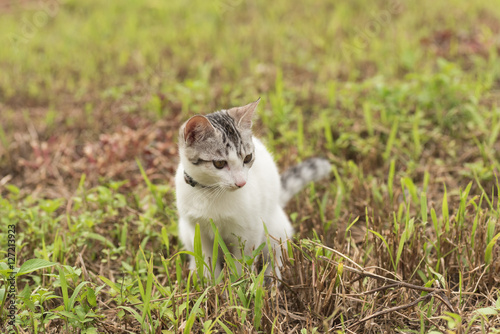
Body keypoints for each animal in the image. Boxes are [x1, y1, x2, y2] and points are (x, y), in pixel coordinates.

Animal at [176, 98, 332, 280]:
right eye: (219, 163)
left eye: (248, 158)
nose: (241, 183)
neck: (211, 191)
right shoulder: (197, 230)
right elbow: (205, 258)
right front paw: (210, 281)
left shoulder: (250, 231)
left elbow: (242, 262)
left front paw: (239, 283)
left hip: (275, 229)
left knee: (278, 253)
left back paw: (273, 276)